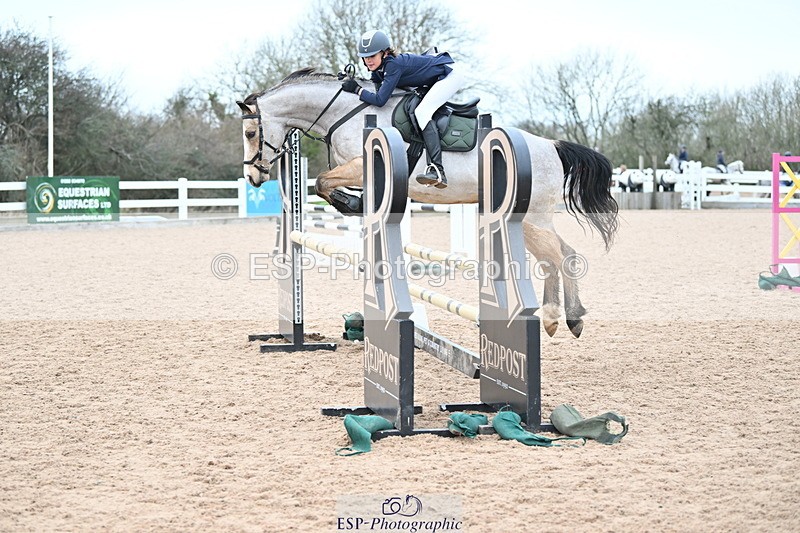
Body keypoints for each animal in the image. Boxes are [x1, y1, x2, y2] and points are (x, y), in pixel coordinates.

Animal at [237, 68, 619, 338]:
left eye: (250, 133)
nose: (253, 177)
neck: (345, 112)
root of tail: (552, 146)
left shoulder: (363, 166)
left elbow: (322, 182)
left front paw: (351, 203)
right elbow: (324, 184)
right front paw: (353, 203)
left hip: (529, 218)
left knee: (555, 257)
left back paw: (553, 318)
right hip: (535, 220)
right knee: (567, 253)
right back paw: (574, 318)